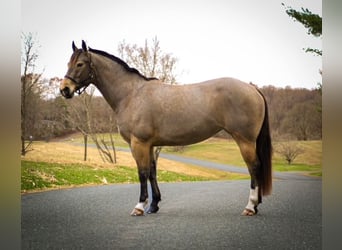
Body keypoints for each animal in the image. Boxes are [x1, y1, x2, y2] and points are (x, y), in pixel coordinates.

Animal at [59, 40, 272, 216]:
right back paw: (256, 205)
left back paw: (250, 206)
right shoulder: (150, 145)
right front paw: (154, 205)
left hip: (244, 140)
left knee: (254, 167)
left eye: (80, 64)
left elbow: (142, 172)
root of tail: (252, 88)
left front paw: (139, 206)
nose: (64, 89)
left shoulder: (139, 143)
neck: (131, 94)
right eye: (68, 63)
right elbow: (152, 172)